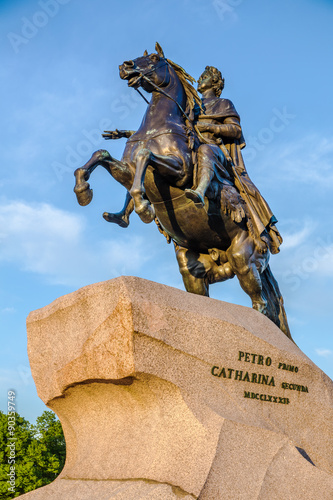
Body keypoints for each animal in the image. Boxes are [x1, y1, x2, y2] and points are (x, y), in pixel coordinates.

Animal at [73, 44, 290, 340]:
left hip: (244, 259)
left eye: (154, 59)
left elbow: (145, 154)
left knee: (263, 306)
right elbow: (101, 154)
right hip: (193, 267)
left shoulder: (181, 171)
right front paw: (83, 190)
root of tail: (265, 237)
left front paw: (143, 206)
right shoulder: (126, 172)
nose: (125, 66)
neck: (157, 126)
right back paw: (118, 216)